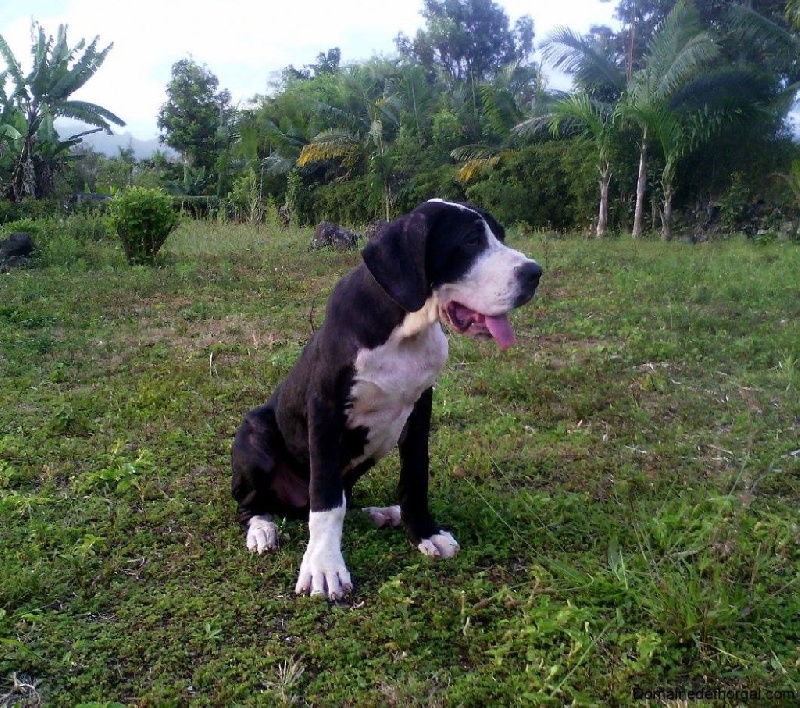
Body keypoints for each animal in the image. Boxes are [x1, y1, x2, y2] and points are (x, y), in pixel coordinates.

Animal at [231, 199, 542, 599]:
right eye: (471, 241)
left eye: (500, 235)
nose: (534, 273)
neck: (403, 328)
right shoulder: (325, 409)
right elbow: (326, 499)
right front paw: (324, 566)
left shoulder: (421, 406)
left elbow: (415, 475)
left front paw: (423, 531)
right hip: (254, 432)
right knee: (256, 502)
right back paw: (262, 528)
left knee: (347, 499)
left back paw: (384, 513)